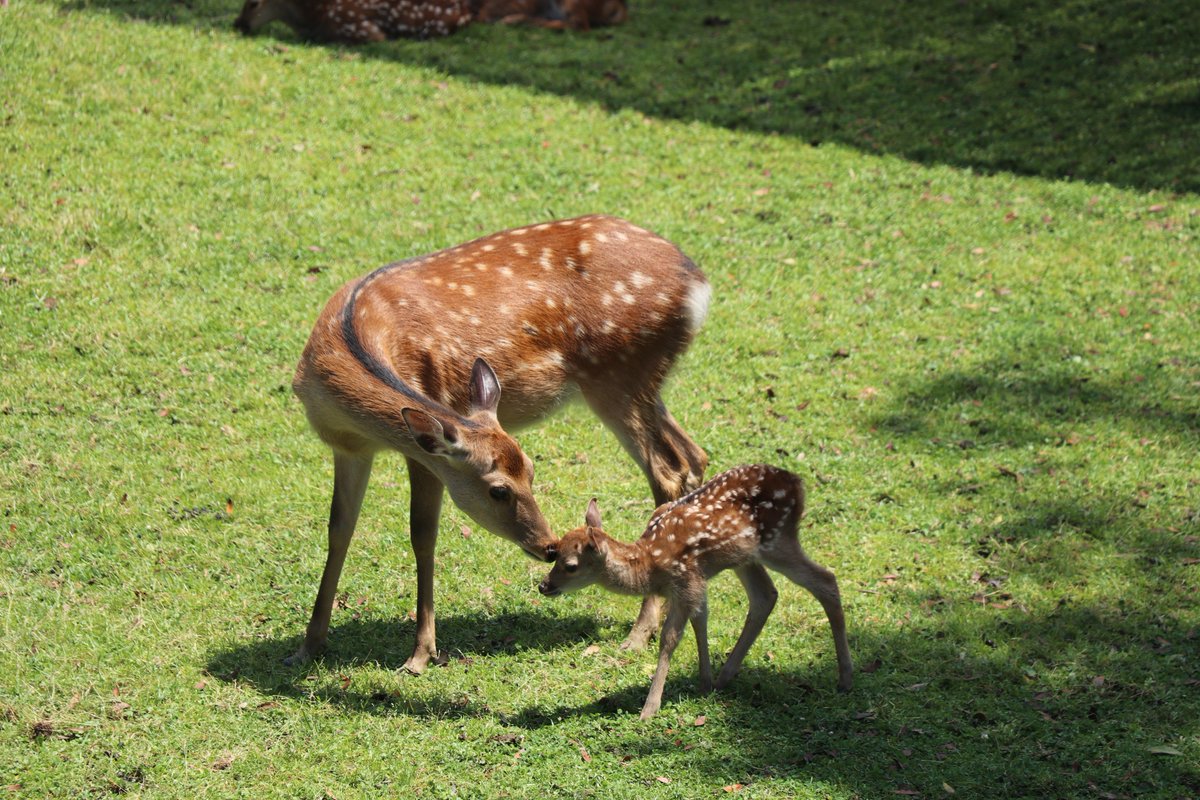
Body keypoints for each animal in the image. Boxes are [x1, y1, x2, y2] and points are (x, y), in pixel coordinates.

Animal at [289, 215, 710, 674]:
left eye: (531, 472)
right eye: (500, 489)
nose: (549, 546)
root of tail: (697, 284)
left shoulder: (424, 451)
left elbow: (422, 533)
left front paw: (420, 653)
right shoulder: (348, 448)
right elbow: (339, 529)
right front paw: (309, 644)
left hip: (618, 374)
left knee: (666, 473)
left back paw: (639, 632)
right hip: (645, 384)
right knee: (693, 455)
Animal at [538, 464, 853, 719]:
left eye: (570, 565)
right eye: (555, 553)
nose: (544, 586)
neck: (650, 564)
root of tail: (798, 484)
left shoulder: (687, 579)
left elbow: (670, 637)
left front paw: (649, 708)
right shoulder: (697, 582)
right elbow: (700, 621)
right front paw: (704, 682)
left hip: (777, 540)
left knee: (826, 580)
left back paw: (845, 678)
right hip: (745, 557)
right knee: (766, 596)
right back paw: (726, 675)